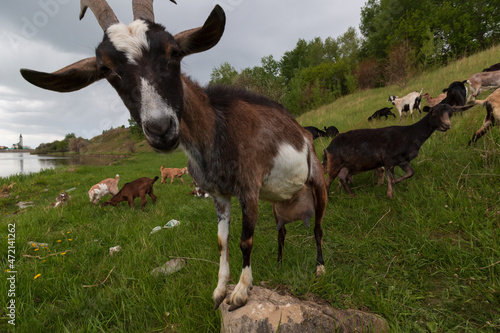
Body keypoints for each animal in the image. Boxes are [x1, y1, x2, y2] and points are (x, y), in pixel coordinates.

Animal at [19, 0, 326, 312]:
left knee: (318, 226)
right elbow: (222, 241)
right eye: (106, 69)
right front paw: (219, 290)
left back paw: (320, 269)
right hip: (279, 202)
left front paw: (240, 292)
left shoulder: (249, 189)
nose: (161, 128)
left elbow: (245, 240)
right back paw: (280, 263)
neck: (216, 131)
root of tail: (304, 132)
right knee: (282, 230)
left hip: (318, 183)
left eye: (174, 51)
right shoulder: (219, 194)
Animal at [322, 104, 458, 197]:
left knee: (343, 178)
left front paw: (395, 183)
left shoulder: (403, 160)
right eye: (434, 112)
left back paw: (352, 195)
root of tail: (328, 147)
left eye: (450, 113)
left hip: (345, 165)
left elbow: (410, 173)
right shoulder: (388, 159)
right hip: (335, 164)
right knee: (328, 182)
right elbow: (391, 178)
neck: (410, 135)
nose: (447, 125)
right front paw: (390, 194)